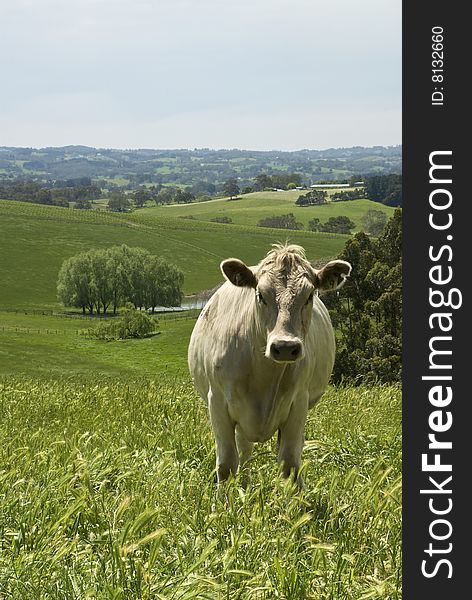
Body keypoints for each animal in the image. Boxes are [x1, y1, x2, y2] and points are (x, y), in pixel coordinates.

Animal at [188, 243, 350, 488]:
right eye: (260, 295)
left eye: (309, 295)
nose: (285, 346)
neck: (263, 375)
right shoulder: (217, 401)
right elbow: (226, 465)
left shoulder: (298, 403)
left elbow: (289, 465)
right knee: (244, 452)